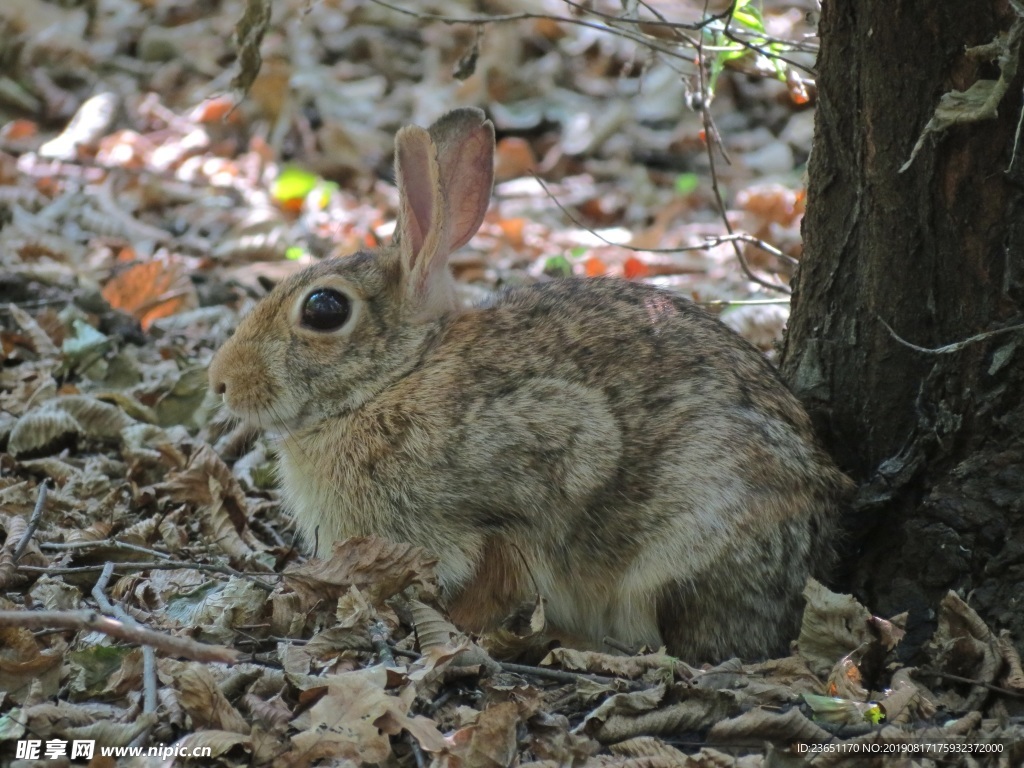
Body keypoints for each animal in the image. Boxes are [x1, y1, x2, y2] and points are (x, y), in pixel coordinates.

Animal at [207, 105, 847, 663]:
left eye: (324, 310)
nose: (221, 382)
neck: (399, 375)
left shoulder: (523, 487)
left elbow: (496, 576)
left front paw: (458, 630)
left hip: (687, 542)